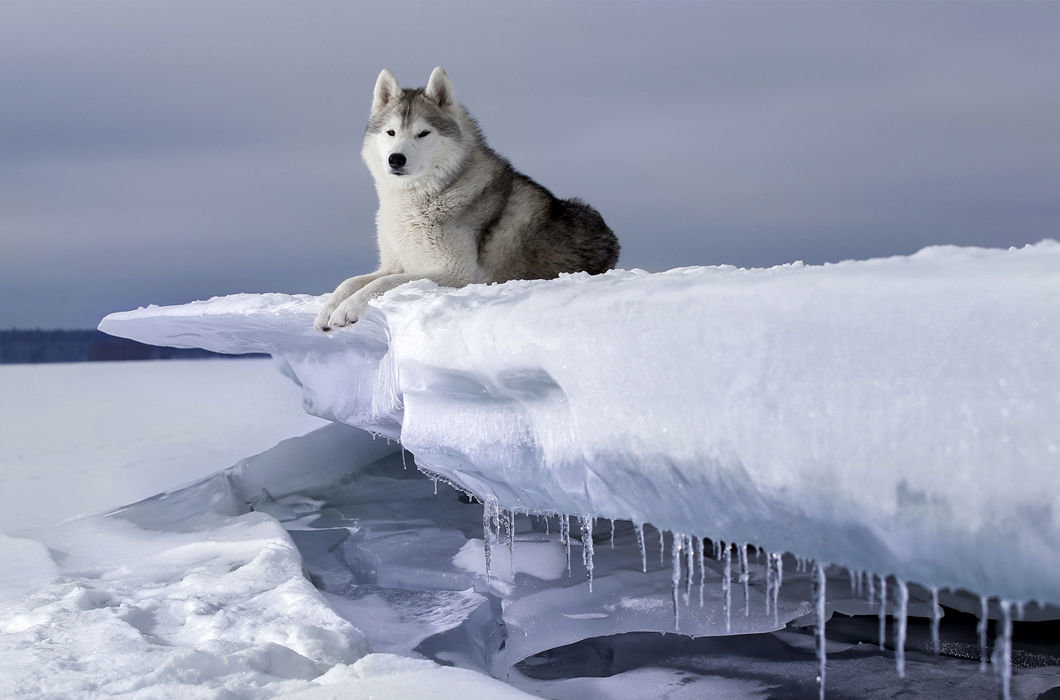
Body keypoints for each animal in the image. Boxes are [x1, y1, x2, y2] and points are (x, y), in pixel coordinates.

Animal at [315, 67, 619, 331]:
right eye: (390, 132)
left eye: (423, 133)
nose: (396, 159)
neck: (421, 198)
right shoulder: (395, 262)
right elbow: (350, 282)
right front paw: (327, 310)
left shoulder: (454, 272)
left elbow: (382, 284)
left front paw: (346, 309)